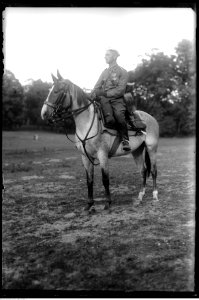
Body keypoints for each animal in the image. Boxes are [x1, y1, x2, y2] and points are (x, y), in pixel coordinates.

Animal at [41, 70, 159, 211]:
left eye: (56, 91)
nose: (44, 114)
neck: (87, 123)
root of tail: (151, 118)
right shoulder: (85, 156)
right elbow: (89, 180)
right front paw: (89, 204)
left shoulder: (102, 154)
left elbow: (105, 179)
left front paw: (108, 202)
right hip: (137, 151)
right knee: (143, 171)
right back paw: (140, 197)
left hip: (151, 148)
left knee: (153, 171)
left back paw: (155, 196)